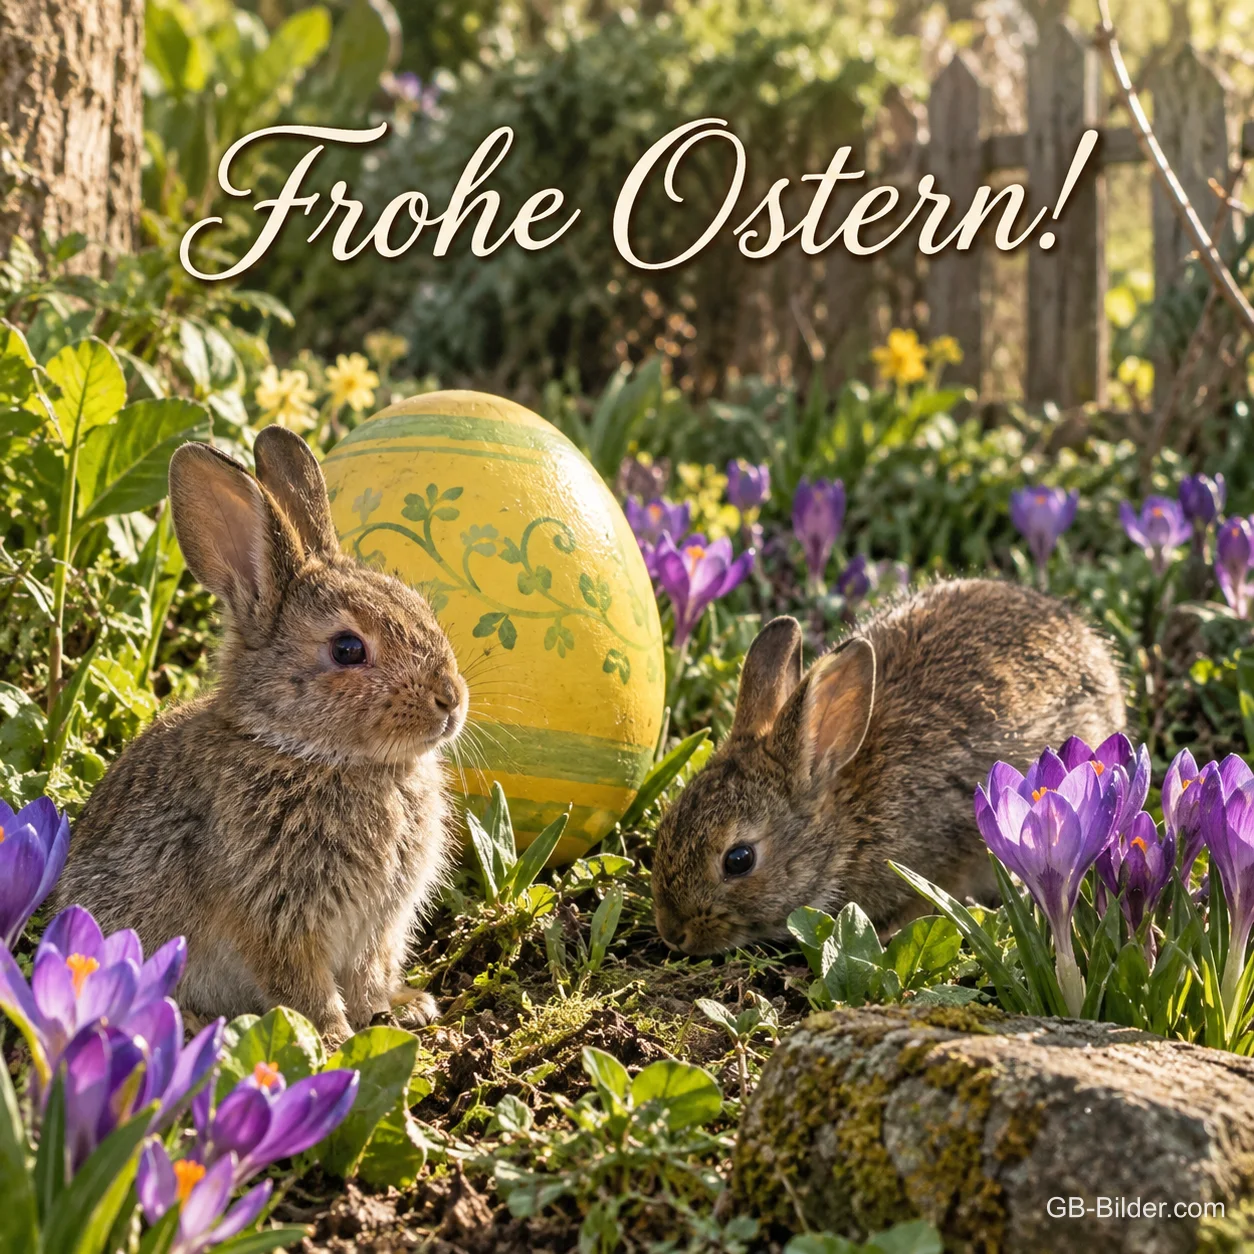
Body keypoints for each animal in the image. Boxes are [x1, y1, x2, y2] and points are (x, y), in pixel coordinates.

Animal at [57, 426, 469, 1045]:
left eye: (420, 605)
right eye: (348, 648)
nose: (451, 699)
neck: (312, 754)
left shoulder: (377, 925)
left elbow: (370, 973)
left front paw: (400, 1009)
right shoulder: (274, 917)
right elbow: (301, 985)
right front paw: (333, 1039)